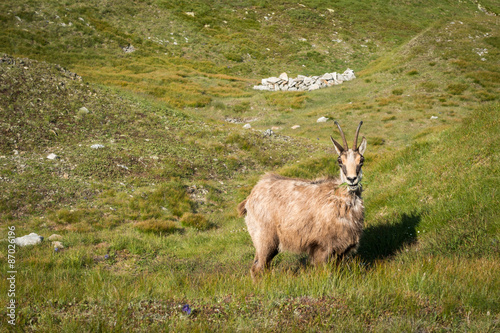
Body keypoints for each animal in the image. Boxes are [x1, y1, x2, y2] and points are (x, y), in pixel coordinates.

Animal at [238, 120, 368, 278]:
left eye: (361, 159)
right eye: (339, 161)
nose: (352, 179)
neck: (339, 199)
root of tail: (250, 198)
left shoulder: (341, 249)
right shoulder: (321, 246)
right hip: (264, 238)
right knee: (257, 267)